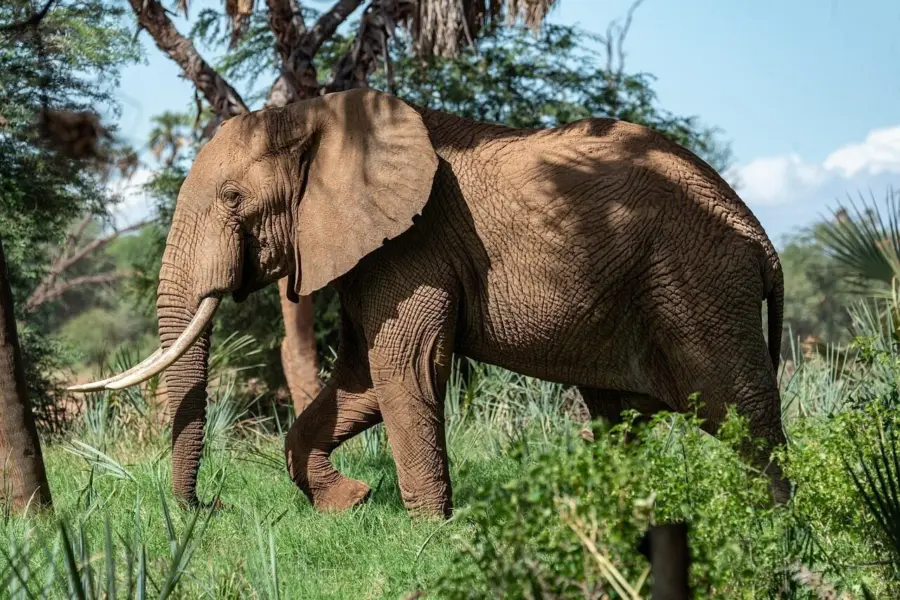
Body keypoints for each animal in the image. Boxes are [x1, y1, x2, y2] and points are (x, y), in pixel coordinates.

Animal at [72, 88, 789, 517]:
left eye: (232, 199)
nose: (210, 509)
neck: (318, 114)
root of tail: (761, 236)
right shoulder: (372, 251)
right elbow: (361, 380)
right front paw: (351, 502)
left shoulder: (413, 245)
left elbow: (404, 369)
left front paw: (430, 534)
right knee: (623, 418)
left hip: (699, 283)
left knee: (741, 414)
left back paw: (776, 530)